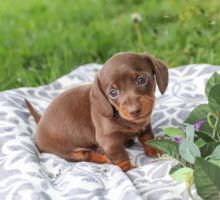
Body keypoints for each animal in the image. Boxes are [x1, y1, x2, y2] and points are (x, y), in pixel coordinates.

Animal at [24, 52, 168, 172]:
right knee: (86, 155)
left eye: (141, 80)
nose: (134, 111)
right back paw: (103, 157)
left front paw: (157, 150)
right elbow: (121, 156)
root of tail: (40, 122)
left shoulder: (145, 126)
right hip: (68, 152)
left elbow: (148, 138)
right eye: (113, 93)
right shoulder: (109, 142)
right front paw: (130, 169)